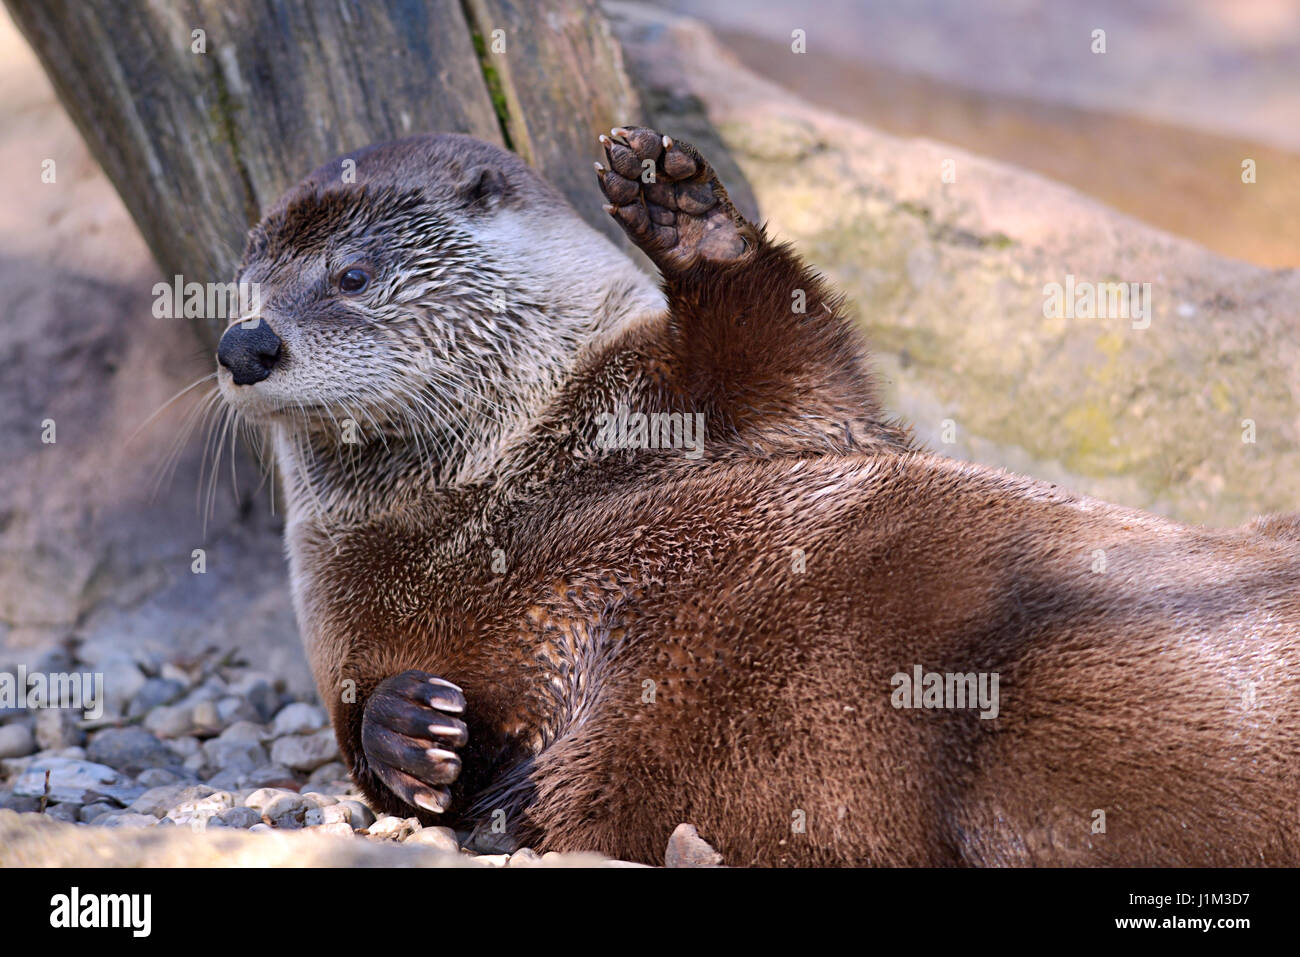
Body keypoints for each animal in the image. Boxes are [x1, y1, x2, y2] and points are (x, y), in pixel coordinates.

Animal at [216, 126, 1300, 866]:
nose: (244, 344)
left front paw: (682, 211)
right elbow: (359, 743)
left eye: (353, 274)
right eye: (242, 282)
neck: (493, 500)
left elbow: (793, 346)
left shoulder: (754, 412)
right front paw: (412, 730)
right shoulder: (342, 623)